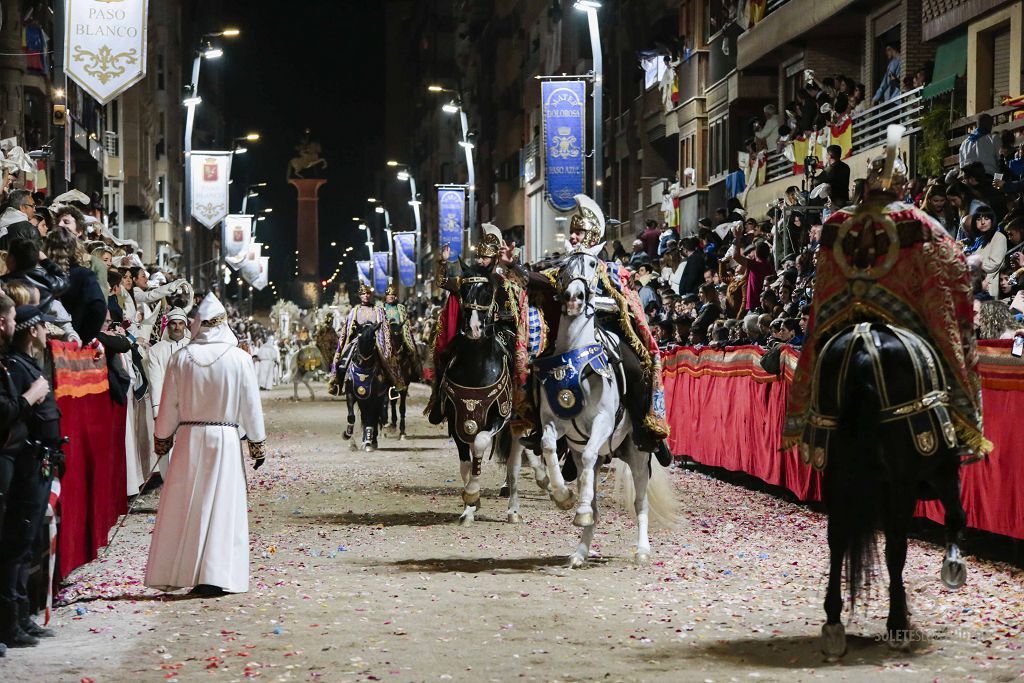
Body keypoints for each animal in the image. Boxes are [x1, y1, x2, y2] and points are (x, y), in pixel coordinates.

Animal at [342, 321, 393, 450]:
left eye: (374, 337)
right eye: (359, 335)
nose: (362, 359)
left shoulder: (374, 397)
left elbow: (372, 418)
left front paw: (369, 441)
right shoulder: (351, 394)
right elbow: (351, 416)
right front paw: (347, 434)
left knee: (374, 417)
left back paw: (371, 441)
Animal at [536, 244, 679, 565]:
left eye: (592, 264)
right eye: (563, 265)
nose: (574, 297)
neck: (576, 358)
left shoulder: (602, 421)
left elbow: (589, 454)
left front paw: (578, 508)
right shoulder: (554, 421)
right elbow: (549, 447)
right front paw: (564, 498)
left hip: (638, 455)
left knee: (640, 502)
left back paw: (642, 551)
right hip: (594, 456)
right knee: (594, 495)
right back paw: (579, 553)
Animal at [806, 323, 966, 659]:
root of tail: (864, 345)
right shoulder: (940, 472)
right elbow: (955, 515)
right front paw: (953, 567)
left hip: (835, 475)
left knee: (837, 539)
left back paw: (833, 622)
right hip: (904, 481)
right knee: (896, 548)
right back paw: (896, 624)